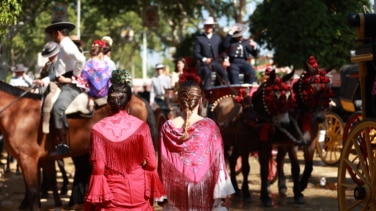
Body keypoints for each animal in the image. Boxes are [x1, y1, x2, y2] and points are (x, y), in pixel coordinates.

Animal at [0, 80, 156, 210]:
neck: (16, 113)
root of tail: (139, 99)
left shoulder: (28, 160)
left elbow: (33, 191)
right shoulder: (39, 159)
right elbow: (45, 183)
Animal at [213, 69, 306, 206]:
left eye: (290, 96)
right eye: (275, 96)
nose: (285, 123)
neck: (257, 119)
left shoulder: (265, 146)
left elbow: (264, 170)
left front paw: (265, 197)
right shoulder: (245, 147)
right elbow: (246, 168)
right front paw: (247, 194)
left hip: (236, 145)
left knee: (233, 160)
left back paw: (235, 188)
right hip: (227, 143)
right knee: (225, 161)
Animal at [274, 60, 334, 195]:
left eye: (328, 89)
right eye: (312, 88)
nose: (321, 117)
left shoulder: (310, 143)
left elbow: (309, 166)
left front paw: (302, 185)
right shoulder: (292, 144)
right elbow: (295, 168)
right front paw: (297, 190)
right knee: (279, 160)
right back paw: (282, 186)